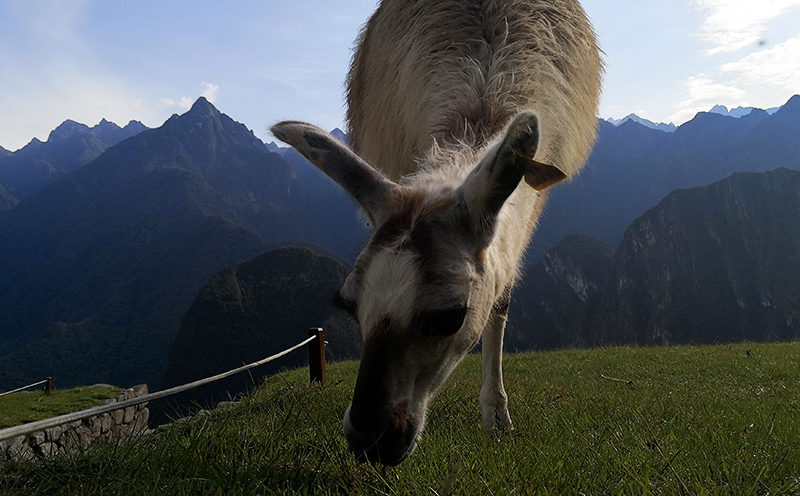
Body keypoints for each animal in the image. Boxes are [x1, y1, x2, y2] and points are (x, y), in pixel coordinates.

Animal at [272, 0, 602, 466]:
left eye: (449, 316)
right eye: (347, 304)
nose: (369, 438)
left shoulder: (533, 202)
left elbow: (501, 301)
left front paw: (496, 416)